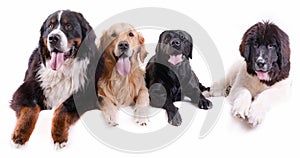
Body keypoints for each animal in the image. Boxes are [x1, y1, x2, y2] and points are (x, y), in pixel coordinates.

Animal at [9, 10, 100, 149]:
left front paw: (59, 135)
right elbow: (31, 108)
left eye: (68, 26)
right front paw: (20, 134)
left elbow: (62, 108)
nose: (53, 38)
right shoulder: (25, 89)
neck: (61, 71)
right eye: (50, 27)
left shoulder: (85, 95)